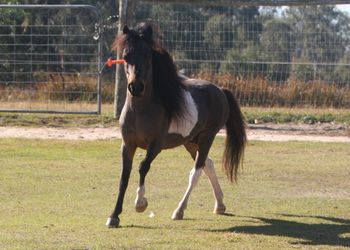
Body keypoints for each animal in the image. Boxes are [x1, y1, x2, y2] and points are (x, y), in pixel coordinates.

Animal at [106, 22, 246, 228]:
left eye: (147, 55)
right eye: (125, 56)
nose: (136, 87)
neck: (141, 110)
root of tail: (220, 90)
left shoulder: (155, 146)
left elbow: (143, 167)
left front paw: (140, 203)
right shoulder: (127, 145)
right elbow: (124, 177)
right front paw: (114, 216)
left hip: (207, 138)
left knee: (196, 171)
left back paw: (179, 210)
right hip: (190, 141)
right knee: (208, 165)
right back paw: (219, 205)